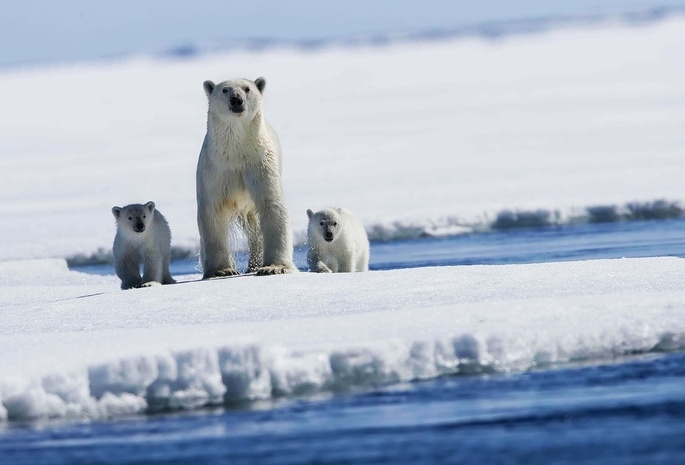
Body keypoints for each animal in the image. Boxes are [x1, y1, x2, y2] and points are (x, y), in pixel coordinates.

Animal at [195, 76, 296, 278]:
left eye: (247, 88)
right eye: (225, 90)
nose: (236, 99)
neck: (236, 153)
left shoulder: (260, 164)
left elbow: (272, 204)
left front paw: (274, 267)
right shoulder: (215, 170)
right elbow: (212, 211)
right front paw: (222, 270)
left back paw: (254, 265)